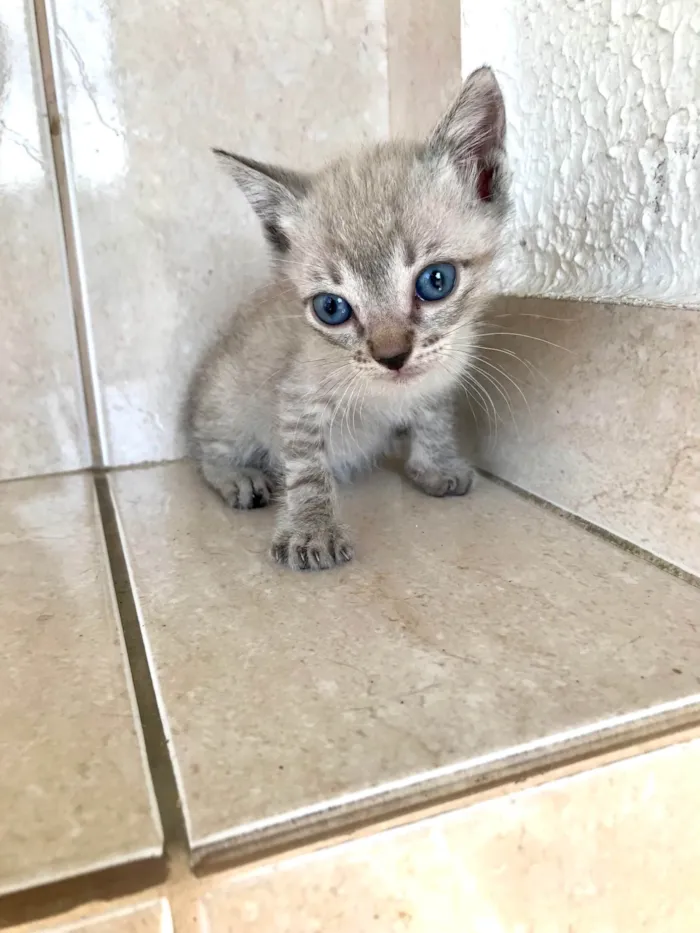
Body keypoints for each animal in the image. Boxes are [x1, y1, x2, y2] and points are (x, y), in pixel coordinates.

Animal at [186, 65, 508, 568]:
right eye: (331, 308)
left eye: (436, 281)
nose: (392, 357)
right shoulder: (297, 395)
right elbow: (305, 465)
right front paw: (311, 529)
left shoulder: (439, 376)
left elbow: (433, 417)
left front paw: (434, 466)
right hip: (226, 396)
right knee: (210, 445)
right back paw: (237, 475)